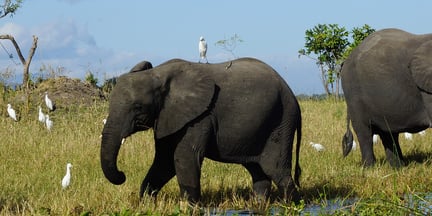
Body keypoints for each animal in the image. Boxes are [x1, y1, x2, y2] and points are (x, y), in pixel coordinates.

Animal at [100, 57, 304, 202]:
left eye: (138, 107)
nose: (123, 175)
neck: (157, 74)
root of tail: (292, 94)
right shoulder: (168, 116)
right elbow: (164, 161)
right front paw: (147, 205)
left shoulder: (200, 117)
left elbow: (183, 158)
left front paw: (190, 207)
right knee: (258, 172)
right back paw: (259, 205)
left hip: (281, 121)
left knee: (277, 171)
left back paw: (293, 206)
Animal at [340, 28, 432, 167]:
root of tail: (346, 60)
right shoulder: (426, 88)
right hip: (353, 92)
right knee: (365, 133)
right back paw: (369, 168)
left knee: (388, 134)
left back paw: (398, 168)